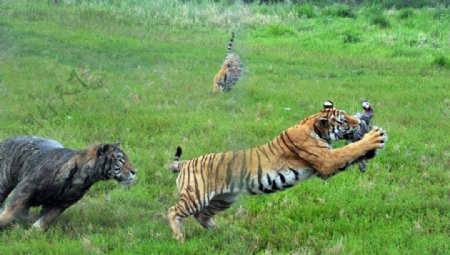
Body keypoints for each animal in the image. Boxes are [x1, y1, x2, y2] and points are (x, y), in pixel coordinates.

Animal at [0, 136, 135, 230]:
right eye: (120, 160)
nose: (135, 171)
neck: (84, 177)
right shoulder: (26, 188)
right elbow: (9, 212)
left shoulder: (61, 204)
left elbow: (43, 222)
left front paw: (31, 233)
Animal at [168, 101, 386, 241]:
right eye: (343, 120)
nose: (359, 122)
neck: (312, 124)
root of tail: (185, 163)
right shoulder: (327, 160)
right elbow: (349, 150)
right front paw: (375, 136)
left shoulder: (326, 165)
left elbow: (351, 153)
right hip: (196, 196)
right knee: (173, 211)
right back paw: (180, 237)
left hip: (223, 199)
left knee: (202, 216)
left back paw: (225, 232)